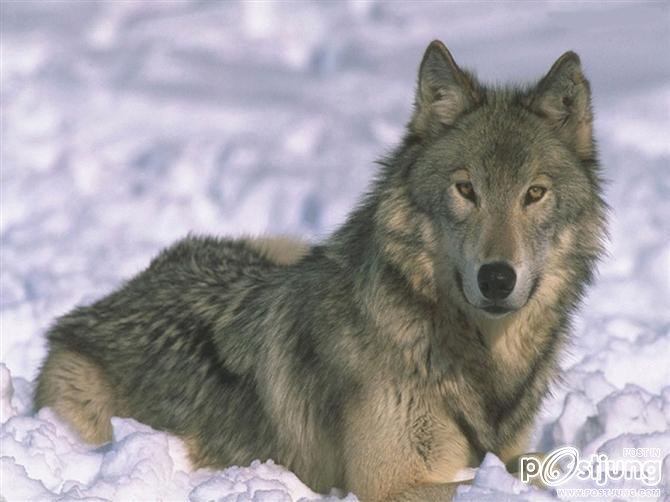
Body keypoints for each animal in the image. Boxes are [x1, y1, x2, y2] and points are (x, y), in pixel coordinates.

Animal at [35, 40, 606, 501]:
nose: (497, 278)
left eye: (534, 193)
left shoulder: (510, 454)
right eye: (466, 190)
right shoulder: (392, 482)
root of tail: (108, 301)